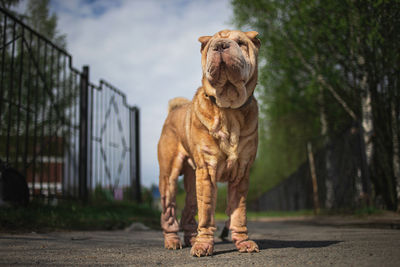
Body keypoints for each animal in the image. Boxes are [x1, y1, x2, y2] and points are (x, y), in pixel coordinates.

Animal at [156, 29, 260, 258]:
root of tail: (172, 111)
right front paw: (204, 245)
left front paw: (243, 242)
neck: (229, 110)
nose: (220, 45)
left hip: (192, 181)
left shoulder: (242, 173)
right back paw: (173, 240)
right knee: (169, 212)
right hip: (169, 176)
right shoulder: (207, 171)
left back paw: (191, 238)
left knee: (188, 212)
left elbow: (238, 213)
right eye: (212, 43)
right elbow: (207, 214)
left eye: (240, 42)